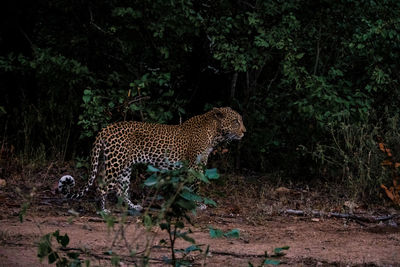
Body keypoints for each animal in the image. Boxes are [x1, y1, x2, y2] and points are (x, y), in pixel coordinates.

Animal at [57, 107, 245, 214]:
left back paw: (134, 207)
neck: (214, 133)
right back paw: (103, 211)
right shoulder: (194, 167)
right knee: (102, 187)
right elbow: (194, 188)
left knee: (121, 189)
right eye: (236, 121)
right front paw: (198, 205)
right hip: (116, 163)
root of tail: (106, 128)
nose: (245, 131)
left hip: (124, 166)